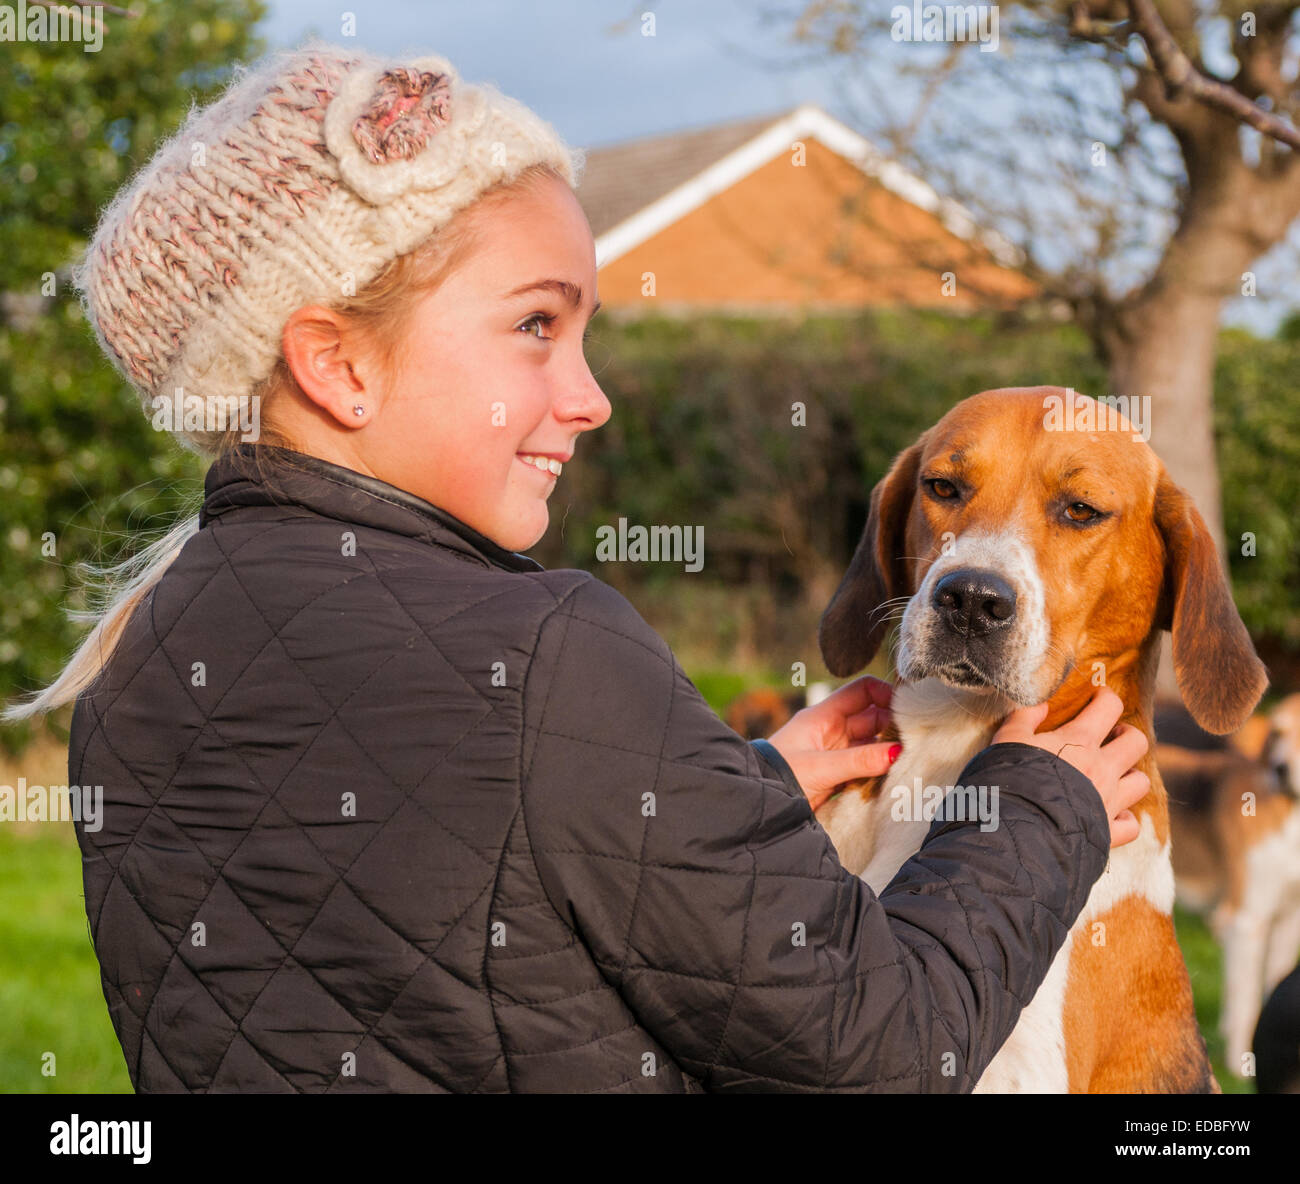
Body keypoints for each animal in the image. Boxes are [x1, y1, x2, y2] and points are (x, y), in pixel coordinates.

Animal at [1164, 696, 1300, 1076]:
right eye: (1278, 732)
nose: (1280, 769)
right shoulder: (1246, 921)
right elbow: (1246, 999)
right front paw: (1243, 1063)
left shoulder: (1288, 920)